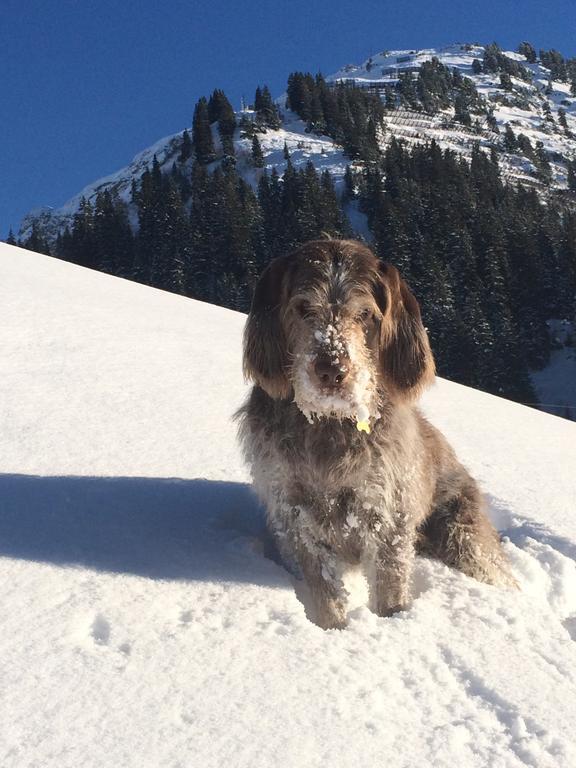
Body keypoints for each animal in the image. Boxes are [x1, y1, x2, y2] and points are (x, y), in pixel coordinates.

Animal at [236, 238, 516, 632]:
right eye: (303, 307)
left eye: (365, 314)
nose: (331, 372)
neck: (331, 424)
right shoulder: (297, 517)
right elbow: (325, 590)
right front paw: (334, 631)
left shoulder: (387, 516)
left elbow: (390, 585)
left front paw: (395, 625)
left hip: (464, 535)